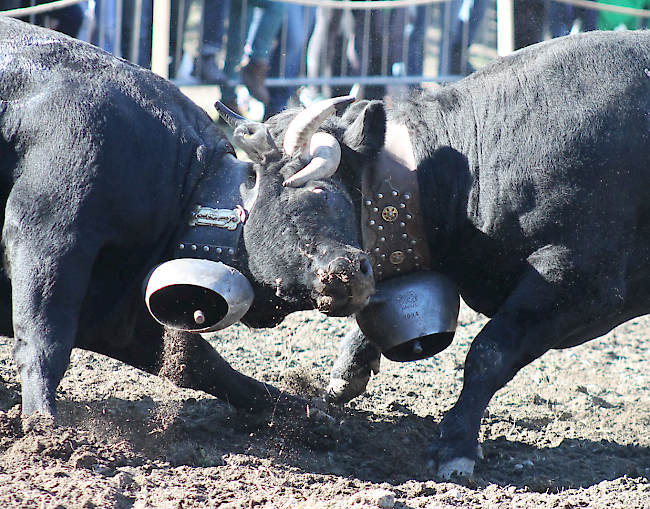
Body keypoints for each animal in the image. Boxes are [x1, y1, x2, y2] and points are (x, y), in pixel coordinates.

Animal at [0, 16, 374, 420]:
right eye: (320, 191)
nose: (362, 270)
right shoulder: (47, 233)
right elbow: (44, 340)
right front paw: (45, 423)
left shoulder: (114, 311)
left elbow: (206, 368)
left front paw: (311, 415)